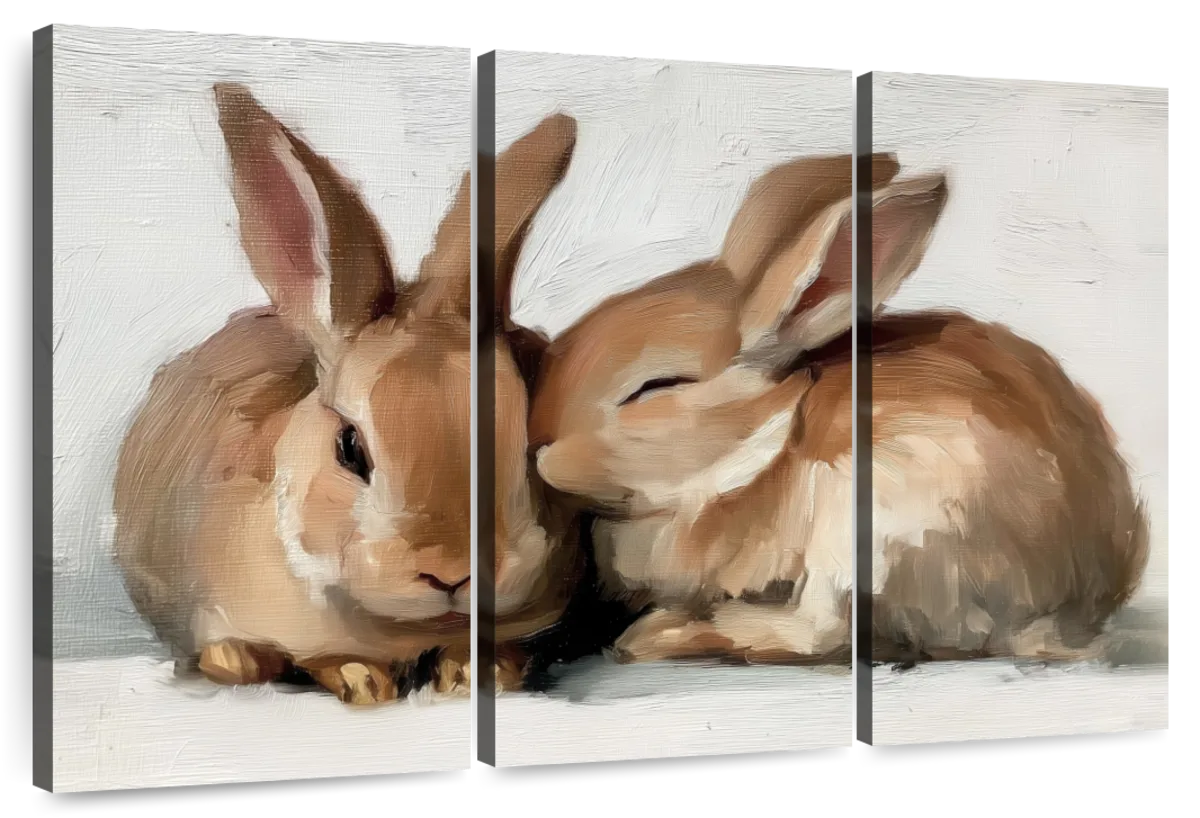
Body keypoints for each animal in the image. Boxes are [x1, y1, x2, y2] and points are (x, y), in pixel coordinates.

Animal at [112, 84, 575, 704]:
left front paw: (476, 673)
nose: (453, 570)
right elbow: (323, 659)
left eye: (525, 443)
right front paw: (365, 682)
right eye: (350, 448)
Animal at [524, 150, 1150, 667]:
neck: (767, 441)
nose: (541, 452)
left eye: (655, 387)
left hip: (872, 515)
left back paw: (661, 635)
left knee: (820, 632)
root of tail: (1070, 609)